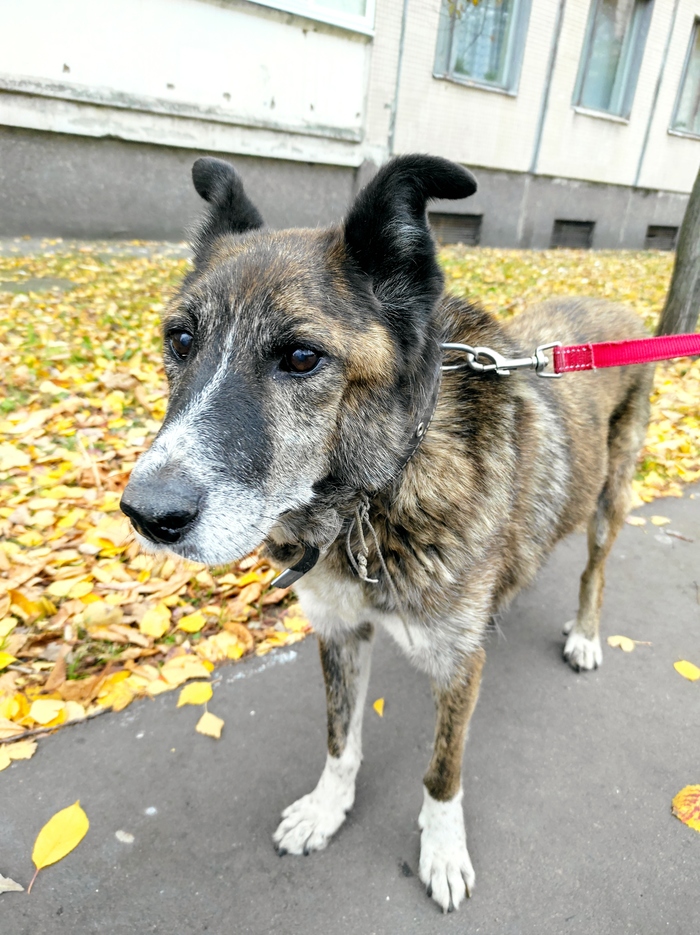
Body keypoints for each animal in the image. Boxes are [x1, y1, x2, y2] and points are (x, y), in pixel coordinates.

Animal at [119, 155, 652, 916]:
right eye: (180, 340)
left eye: (301, 356)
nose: (147, 514)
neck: (376, 500)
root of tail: (620, 310)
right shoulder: (340, 634)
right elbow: (341, 740)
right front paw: (325, 810)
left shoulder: (459, 665)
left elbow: (442, 772)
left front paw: (444, 851)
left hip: (612, 499)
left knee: (594, 571)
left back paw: (584, 632)